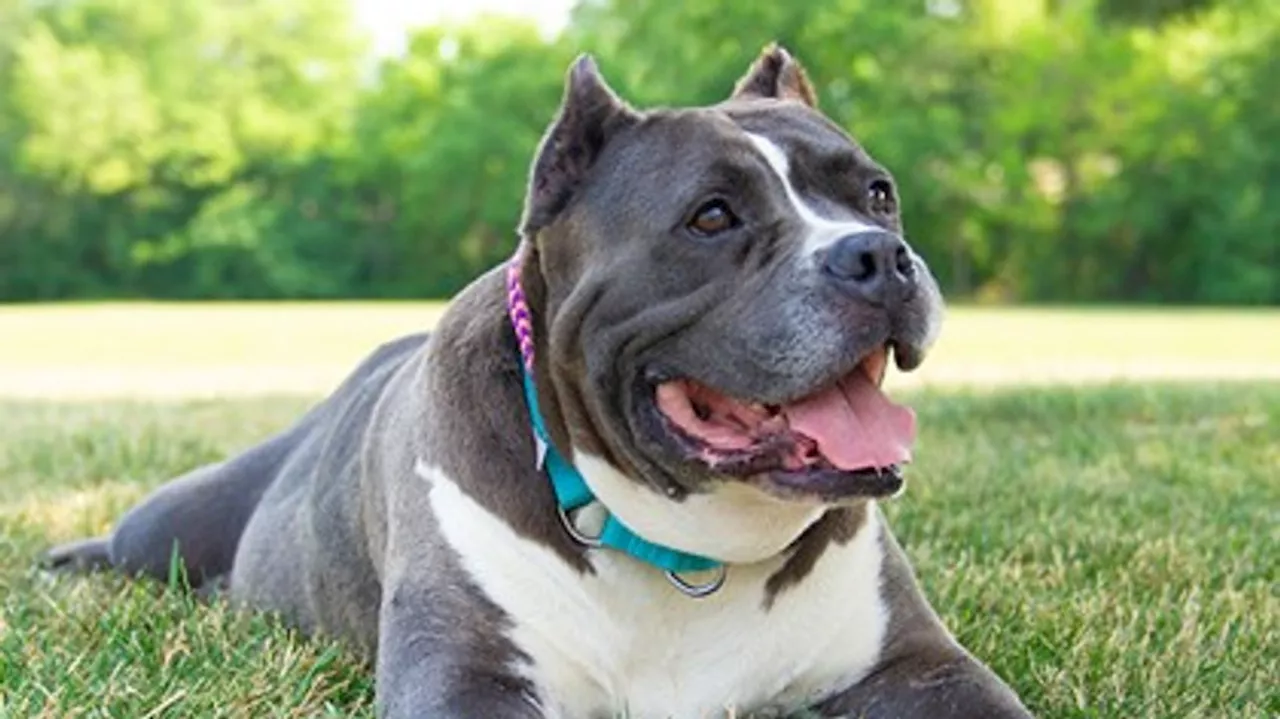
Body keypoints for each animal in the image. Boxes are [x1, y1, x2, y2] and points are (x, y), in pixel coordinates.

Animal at [45, 46, 1034, 716]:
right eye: (712, 217)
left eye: (877, 195)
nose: (879, 256)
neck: (688, 546)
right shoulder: (467, 675)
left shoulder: (920, 664)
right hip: (177, 520)